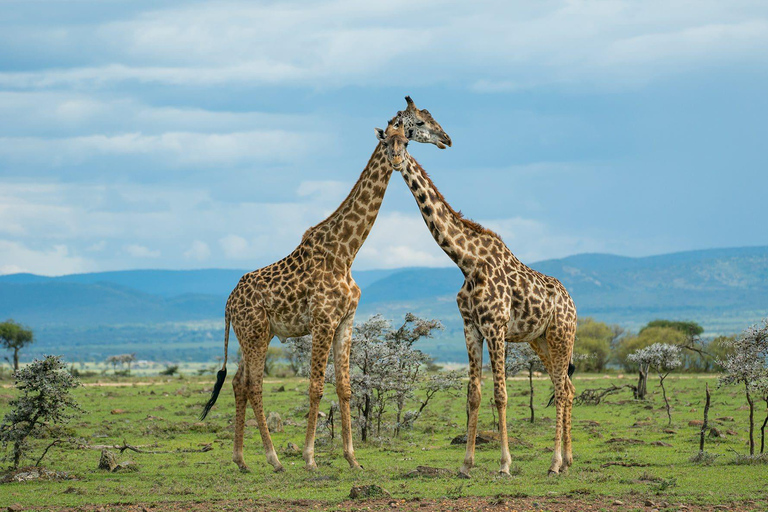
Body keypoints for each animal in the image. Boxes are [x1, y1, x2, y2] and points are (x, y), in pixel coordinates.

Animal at [200, 96, 450, 472]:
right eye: (420, 122)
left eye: (407, 141)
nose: (446, 139)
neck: (346, 251)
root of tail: (228, 303)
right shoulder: (323, 320)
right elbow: (316, 387)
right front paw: (309, 457)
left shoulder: (346, 320)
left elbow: (345, 387)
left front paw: (352, 458)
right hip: (254, 334)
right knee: (254, 385)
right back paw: (274, 459)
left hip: (256, 334)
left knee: (238, 382)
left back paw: (241, 459)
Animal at [378, 122, 576, 478]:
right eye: (387, 141)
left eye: (408, 140)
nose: (397, 160)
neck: (467, 261)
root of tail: (572, 303)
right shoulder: (471, 327)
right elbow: (473, 395)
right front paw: (466, 464)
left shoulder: (496, 328)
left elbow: (500, 394)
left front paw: (505, 464)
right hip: (540, 340)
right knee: (565, 387)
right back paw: (565, 460)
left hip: (561, 335)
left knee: (562, 388)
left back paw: (556, 462)